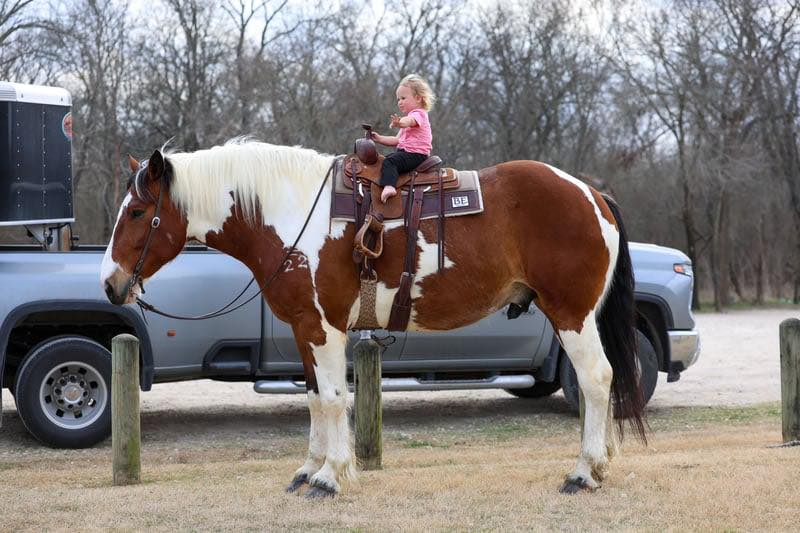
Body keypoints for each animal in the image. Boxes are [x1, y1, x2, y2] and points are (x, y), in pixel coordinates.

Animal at [101, 139, 646, 498]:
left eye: (136, 212)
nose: (109, 283)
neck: (292, 214)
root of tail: (591, 194)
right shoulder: (304, 329)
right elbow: (316, 400)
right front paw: (308, 469)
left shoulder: (324, 330)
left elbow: (334, 399)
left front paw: (329, 477)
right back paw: (599, 466)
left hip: (572, 315)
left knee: (596, 380)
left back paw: (584, 471)